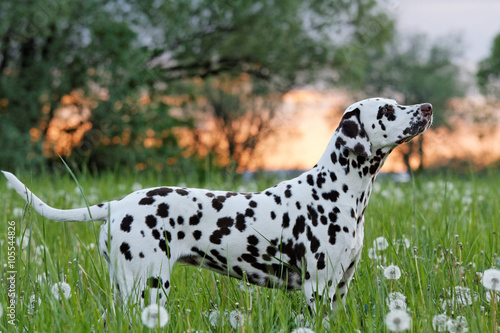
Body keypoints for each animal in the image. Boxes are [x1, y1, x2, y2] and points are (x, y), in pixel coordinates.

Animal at [2, 97, 430, 310]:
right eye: (387, 110)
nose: (426, 109)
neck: (336, 190)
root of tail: (119, 204)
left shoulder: (340, 288)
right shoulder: (318, 289)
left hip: (127, 290)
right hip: (149, 288)